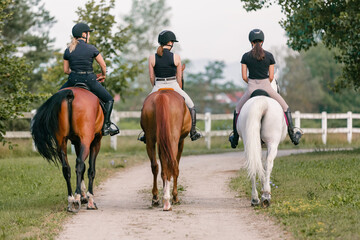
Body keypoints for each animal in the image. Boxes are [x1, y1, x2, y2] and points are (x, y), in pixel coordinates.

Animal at [239, 80, 286, 208]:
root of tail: (261, 101)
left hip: (249, 143)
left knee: (252, 164)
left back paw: (255, 198)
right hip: (272, 143)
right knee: (268, 164)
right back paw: (266, 196)